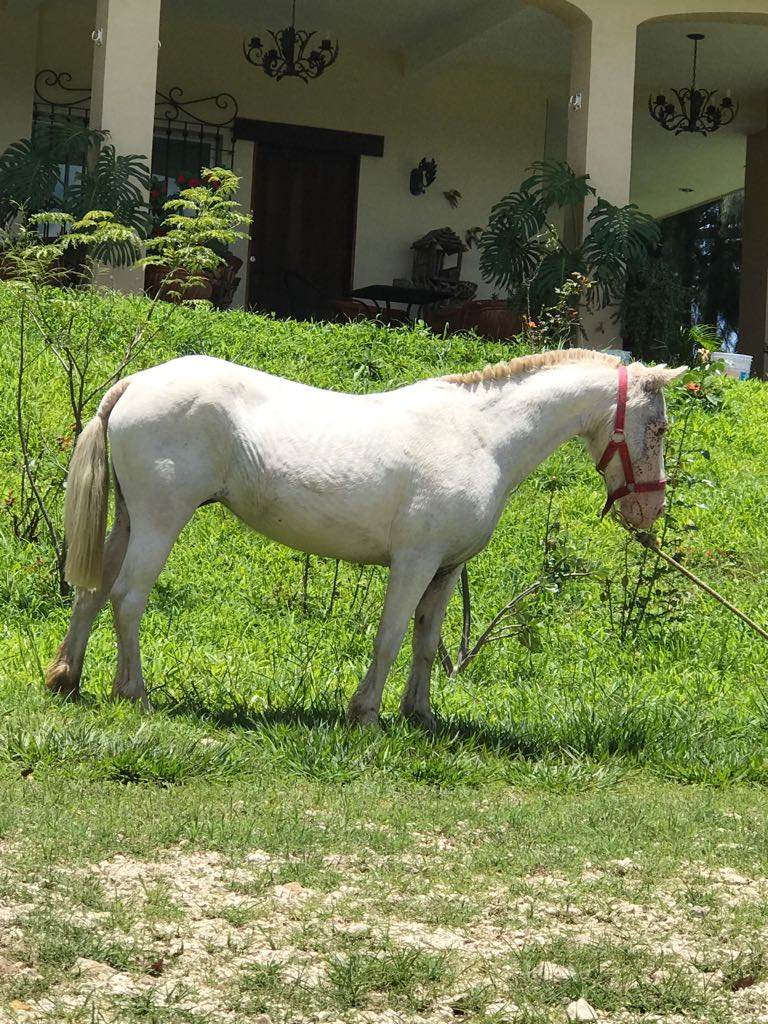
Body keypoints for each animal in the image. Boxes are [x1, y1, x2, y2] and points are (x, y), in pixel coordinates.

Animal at [46, 349, 686, 728]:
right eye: (658, 427)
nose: (649, 510)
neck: (481, 437)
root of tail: (132, 384)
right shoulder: (414, 562)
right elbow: (391, 637)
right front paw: (367, 715)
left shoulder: (446, 569)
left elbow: (426, 641)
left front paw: (420, 716)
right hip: (160, 520)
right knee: (128, 598)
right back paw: (134, 693)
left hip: (128, 520)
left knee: (93, 593)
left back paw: (66, 680)